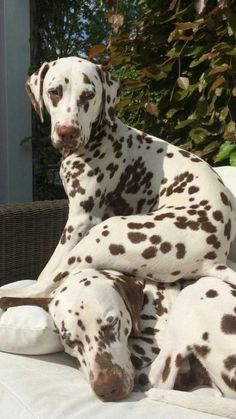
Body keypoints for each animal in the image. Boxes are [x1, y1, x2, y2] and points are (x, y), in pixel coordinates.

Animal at [0, 56, 235, 298]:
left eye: (88, 95)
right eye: (54, 91)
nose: (68, 132)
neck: (101, 136)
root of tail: (212, 260)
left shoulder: (80, 220)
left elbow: (47, 270)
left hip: (100, 235)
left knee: (42, 287)